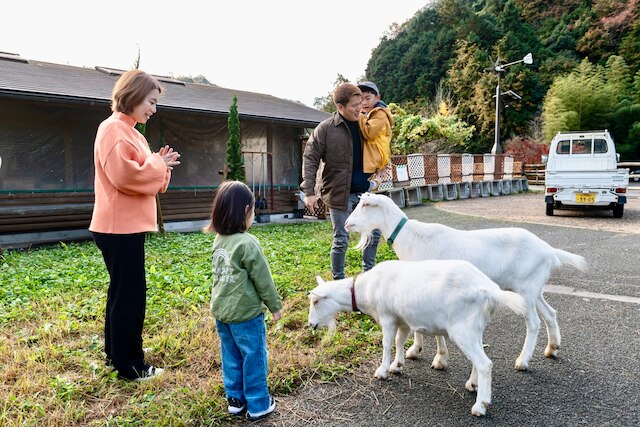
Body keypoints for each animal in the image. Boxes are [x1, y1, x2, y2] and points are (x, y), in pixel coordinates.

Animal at [308, 260, 524, 416]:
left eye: (316, 301)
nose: (311, 324)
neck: (364, 290)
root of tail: (492, 291)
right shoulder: (401, 319)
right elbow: (399, 341)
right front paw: (397, 366)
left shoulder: (387, 316)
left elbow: (387, 343)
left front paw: (382, 371)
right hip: (474, 327)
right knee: (478, 359)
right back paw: (472, 384)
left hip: (462, 328)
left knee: (484, 363)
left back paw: (480, 405)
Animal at [342, 194, 588, 372]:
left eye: (365, 205)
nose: (346, 224)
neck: (411, 237)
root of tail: (549, 251)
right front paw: (416, 350)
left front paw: (438, 358)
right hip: (533, 289)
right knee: (550, 313)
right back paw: (552, 348)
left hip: (527, 290)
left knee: (534, 323)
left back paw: (522, 361)